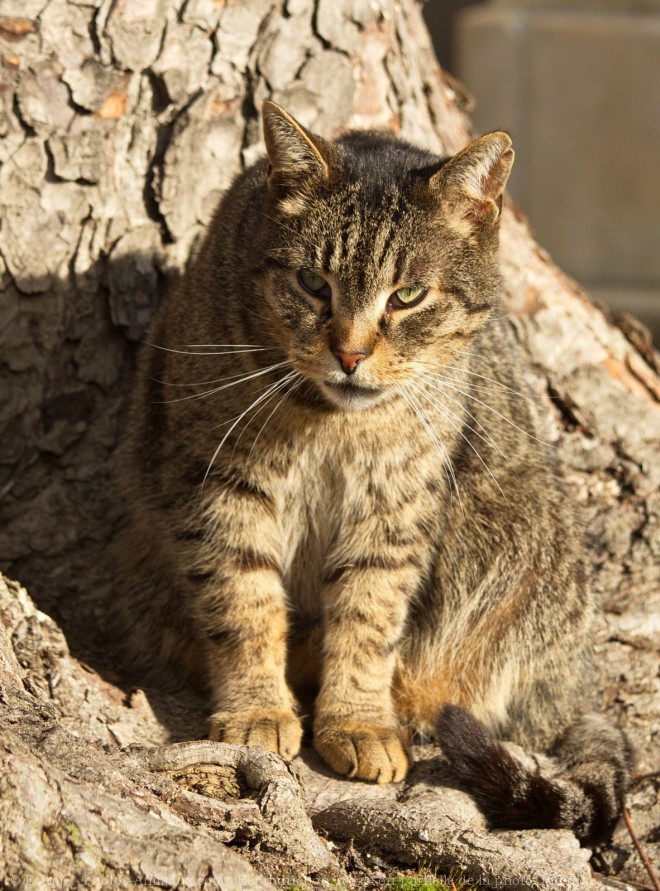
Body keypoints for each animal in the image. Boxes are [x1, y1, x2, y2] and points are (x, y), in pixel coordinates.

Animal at [117, 103, 628, 844]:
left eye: (408, 295)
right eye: (313, 284)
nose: (351, 354)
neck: (331, 425)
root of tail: (572, 687)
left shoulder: (395, 508)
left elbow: (368, 617)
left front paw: (357, 719)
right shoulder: (220, 485)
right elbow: (243, 601)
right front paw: (257, 707)